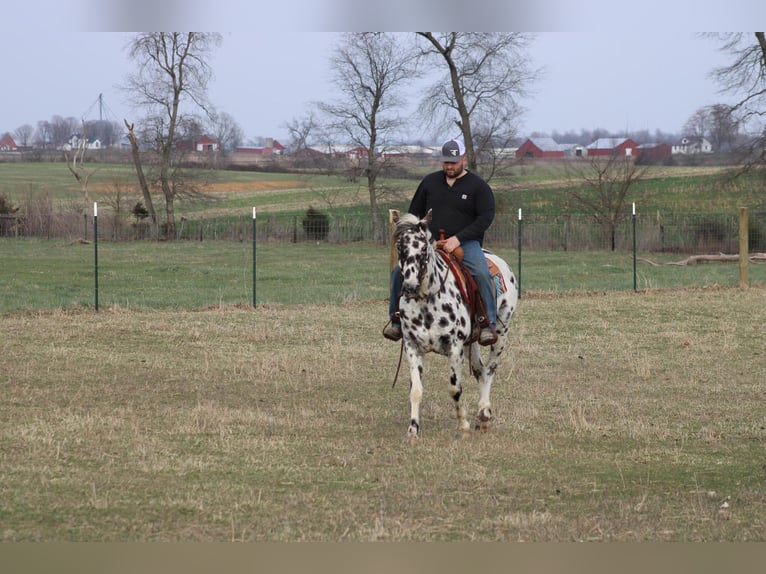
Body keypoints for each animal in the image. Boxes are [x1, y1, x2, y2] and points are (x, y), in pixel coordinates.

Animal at [392, 212, 520, 440]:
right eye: (400, 247)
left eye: (423, 248)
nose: (409, 287)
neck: (427, 299)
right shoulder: (412, 346)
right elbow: (415, 390)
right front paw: (413, 430)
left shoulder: (455, 347)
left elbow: (455, 389)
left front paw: (463, 425)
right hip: (472, 341)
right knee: (479, 369)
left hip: (501, 333)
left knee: (490, 369)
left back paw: (484, 412)